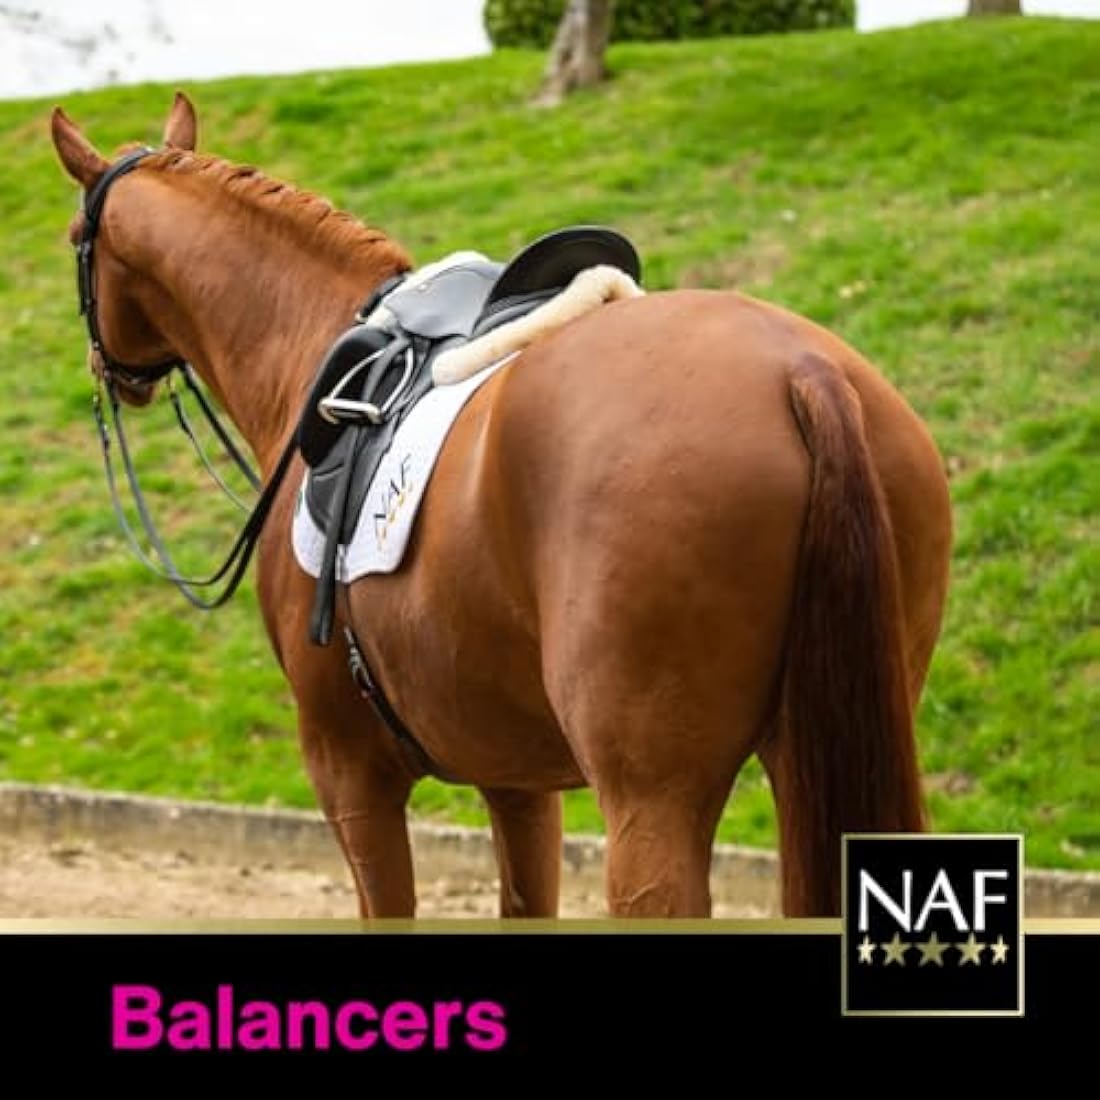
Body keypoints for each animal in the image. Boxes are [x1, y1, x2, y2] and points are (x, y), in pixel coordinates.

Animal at [50, 93, 952, 919]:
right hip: (818, 747)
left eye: (72, 244)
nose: (111, 377)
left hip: (653, 801)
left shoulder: (350, 776)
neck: (312, 350)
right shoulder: (517, 781)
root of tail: (803, 372)